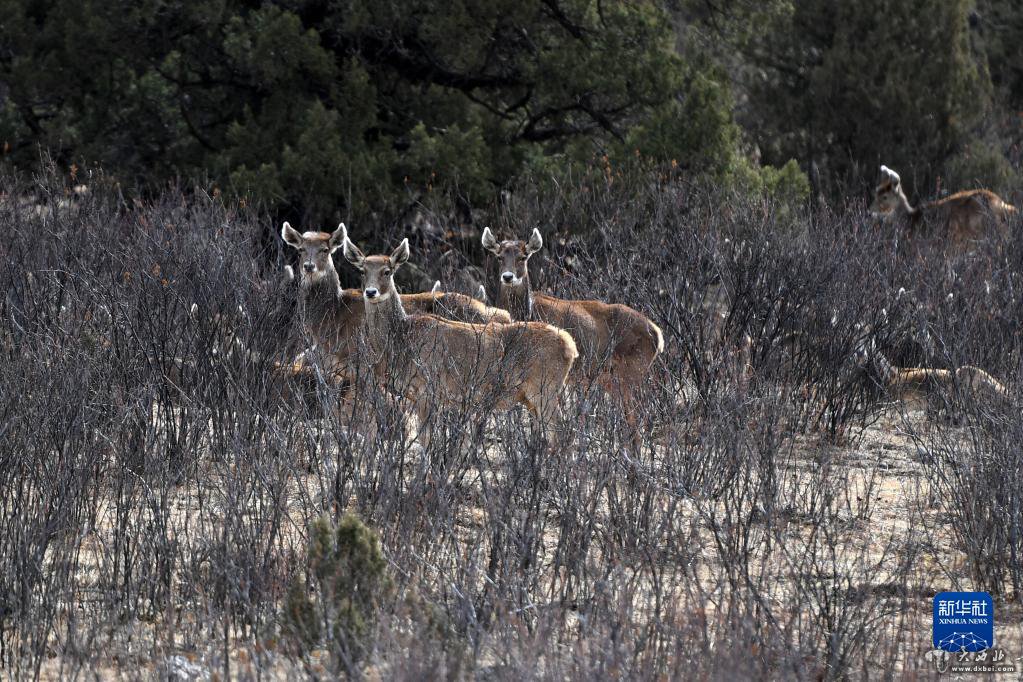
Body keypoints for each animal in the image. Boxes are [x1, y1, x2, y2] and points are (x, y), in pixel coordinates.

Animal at [339, 229, 581, 443]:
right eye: (362, 270)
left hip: (545, 387)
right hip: (534, 396)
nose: (370, 292)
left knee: (564, 434)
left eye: (387, 271)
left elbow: (427, 439)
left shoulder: (427, 388)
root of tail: (571, 347)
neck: (402, 340)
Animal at [482, 226, 666, 445]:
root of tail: (657, 334)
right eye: (499, 256)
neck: (527, 312)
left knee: (638, 419)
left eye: (523, 257)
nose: (508, 277)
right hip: (611, 379)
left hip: (633, 372)